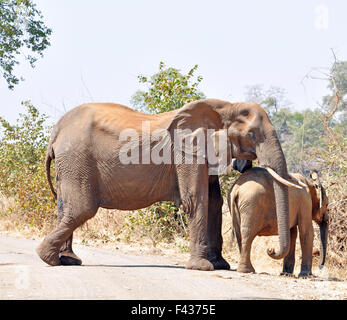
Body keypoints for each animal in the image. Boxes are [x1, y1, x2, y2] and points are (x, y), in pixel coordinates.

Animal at [37, 97, 300, 270]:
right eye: (252, 135)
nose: (271, 250)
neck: (225, 106)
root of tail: (56, 132)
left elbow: (214, 201)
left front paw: (221, 265)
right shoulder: (187, 152)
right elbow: (196, 199)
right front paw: (202, 267)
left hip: (70, 163)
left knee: (65, 207)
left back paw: (67, 260)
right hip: (77, 159)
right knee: (82, 208)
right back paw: (48, 258)